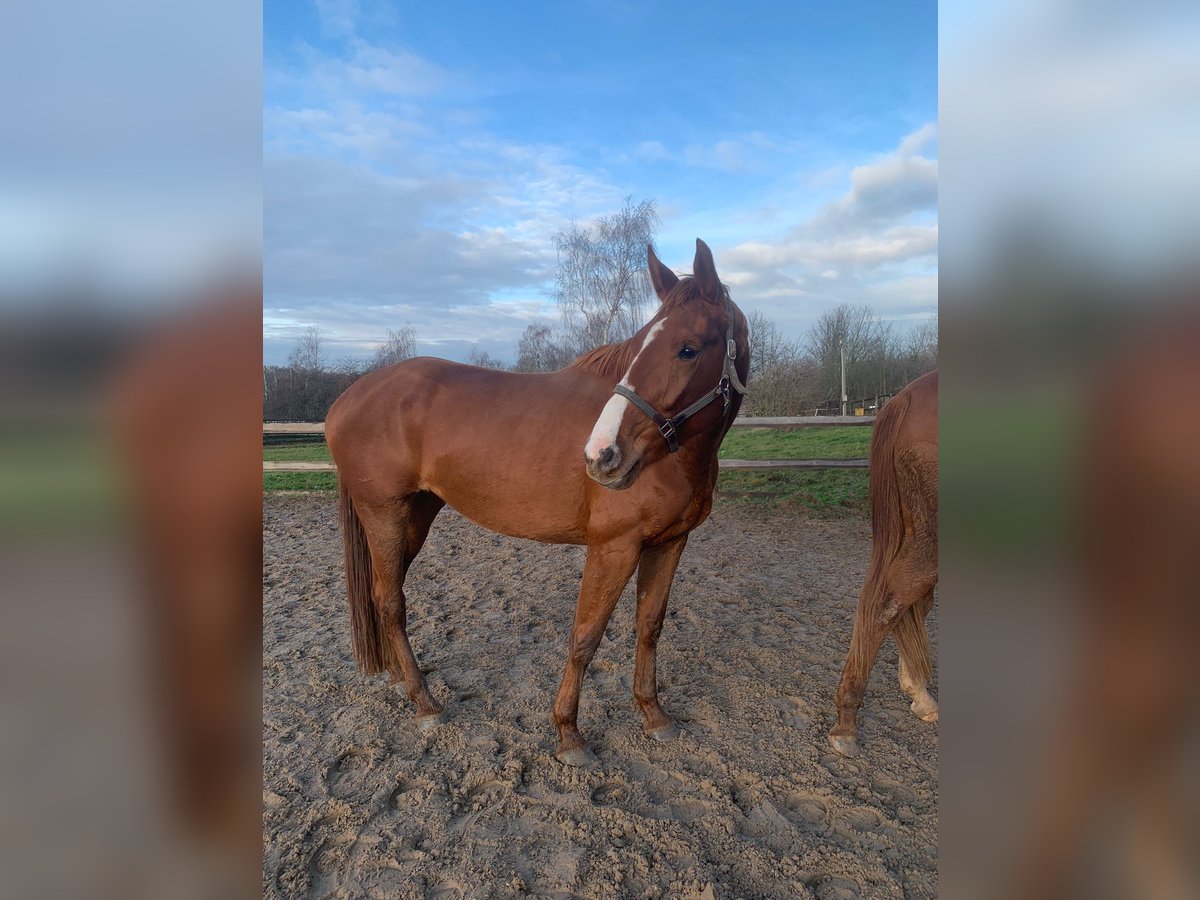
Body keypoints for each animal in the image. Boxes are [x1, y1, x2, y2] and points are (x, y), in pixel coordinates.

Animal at [324, 240, 744, 768]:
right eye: (639, 349)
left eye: (688, 348)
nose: (602, 455)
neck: (674, 457)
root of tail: (348, 398)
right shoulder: (614, 548)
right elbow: (585, 636)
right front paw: (568, 734)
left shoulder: (670, 543)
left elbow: (649, 626)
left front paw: (654, 715)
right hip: (385, 513)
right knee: (390, 601)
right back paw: (426, 704)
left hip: (414, 517)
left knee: (387, 595)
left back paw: (405, 681)